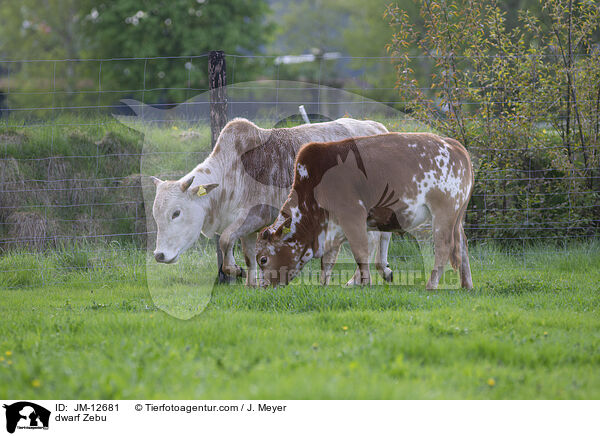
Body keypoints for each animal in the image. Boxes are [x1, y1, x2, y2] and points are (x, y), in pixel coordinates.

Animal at [255, 133, 476, 290]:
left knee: (444, 246)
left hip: (443, 212)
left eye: (263, 259)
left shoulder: (353, 216)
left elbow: (361, 251)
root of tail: (453, 145)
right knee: (463, 246)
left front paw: (365, 282)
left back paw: (431, 285)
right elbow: (328, 260)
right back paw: (467, 284)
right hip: (457, 218)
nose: (264, 286)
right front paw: (324, 284)